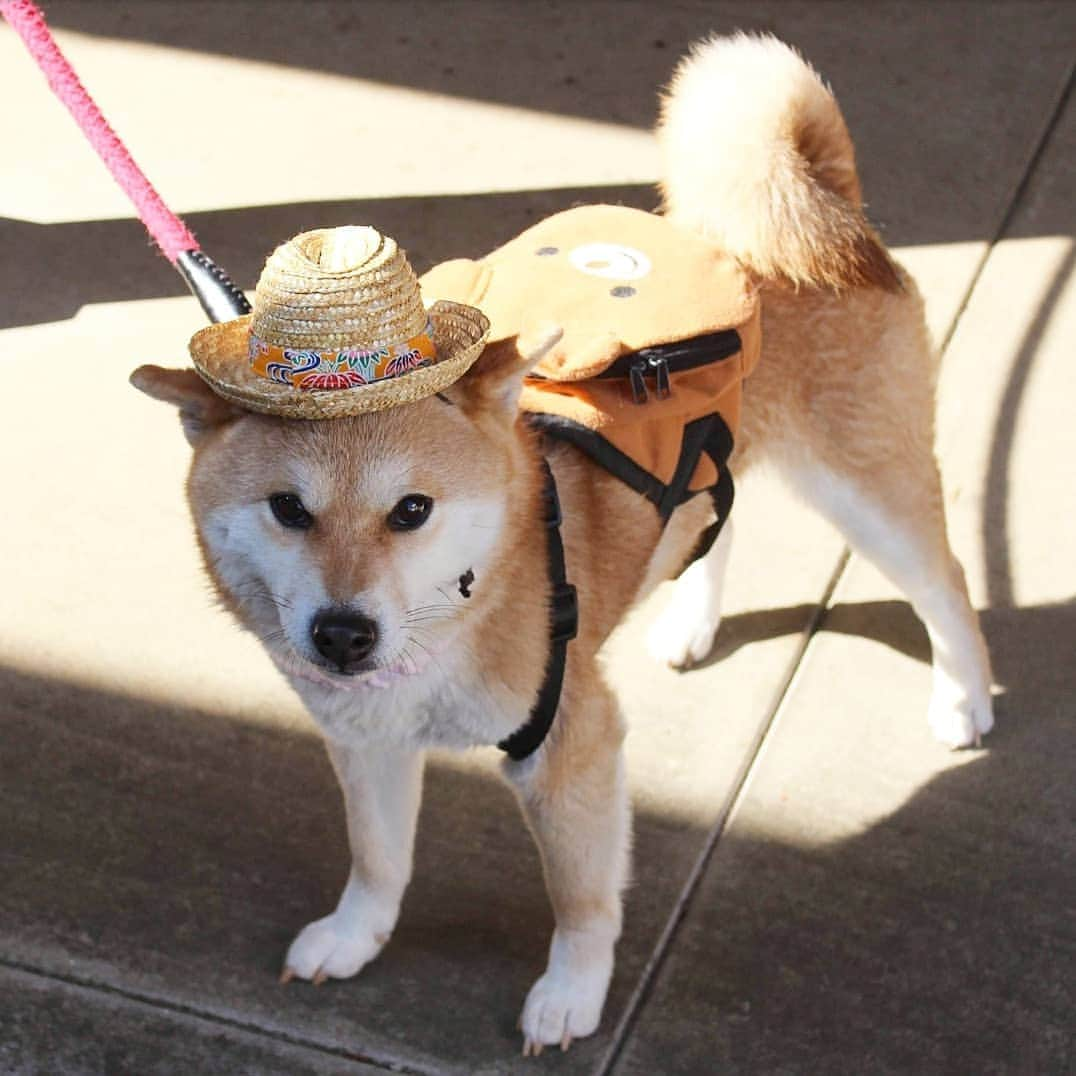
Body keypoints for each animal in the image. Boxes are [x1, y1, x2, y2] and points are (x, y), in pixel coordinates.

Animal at [132, 31, 989, 1050]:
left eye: (411, 510)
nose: (343, 635)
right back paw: (691, 622)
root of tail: (783, 218)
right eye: (287, 510)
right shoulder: (367, 741)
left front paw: (571, 995)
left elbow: (580, 897)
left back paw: (962, 698)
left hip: (865, 488)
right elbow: (379, 859)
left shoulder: (572, 745)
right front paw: (355, 936)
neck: (456, 621)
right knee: (721, 519)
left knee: (945, 581)